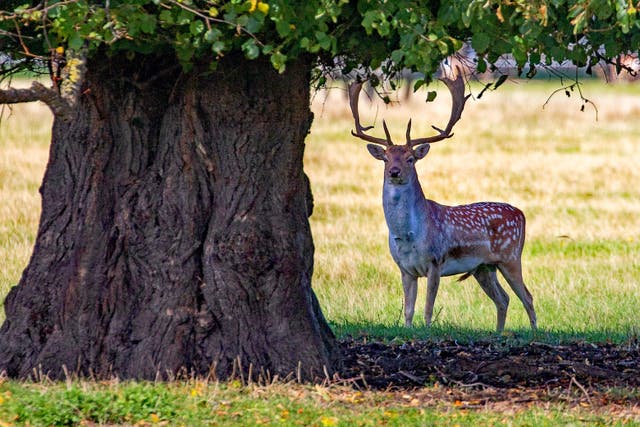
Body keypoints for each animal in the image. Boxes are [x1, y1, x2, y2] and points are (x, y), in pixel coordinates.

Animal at [348, 72, 537, 333]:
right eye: (385, 158)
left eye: (410, 158)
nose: (394, 172)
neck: (408, 235)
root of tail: (521, 213)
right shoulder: (405, 269)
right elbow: (408, 311)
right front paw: (409, 331)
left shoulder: (435, 262)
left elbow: (428, 309)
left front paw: (427, 331)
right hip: (483, 267)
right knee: (503, 299)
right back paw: (499, 334)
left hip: (510, 257)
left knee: (527, 297)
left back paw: (534, 331)